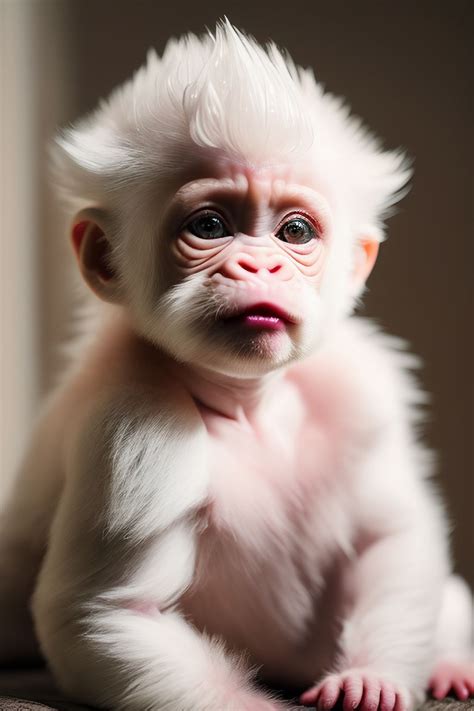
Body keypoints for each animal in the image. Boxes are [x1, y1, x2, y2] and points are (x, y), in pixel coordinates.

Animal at [0, 19, 473, 711]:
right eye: (211, 225)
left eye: (295, 233)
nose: (261, 264)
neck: (247, 404)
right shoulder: (133, 431)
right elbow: (109, 612)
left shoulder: (360, 391)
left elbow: (392, 534)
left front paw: (372, 678)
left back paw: (451, 661)